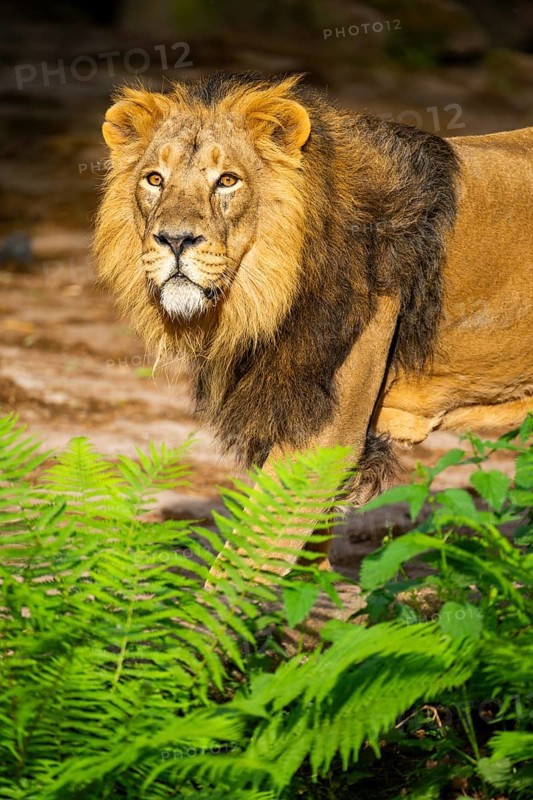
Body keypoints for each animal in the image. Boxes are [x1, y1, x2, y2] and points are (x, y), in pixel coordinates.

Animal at [95, 72, 533, 573]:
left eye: (227, 181)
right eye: (154, 179)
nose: (174, 240)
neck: (261, 297)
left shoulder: (325, 433)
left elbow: (244, 563)